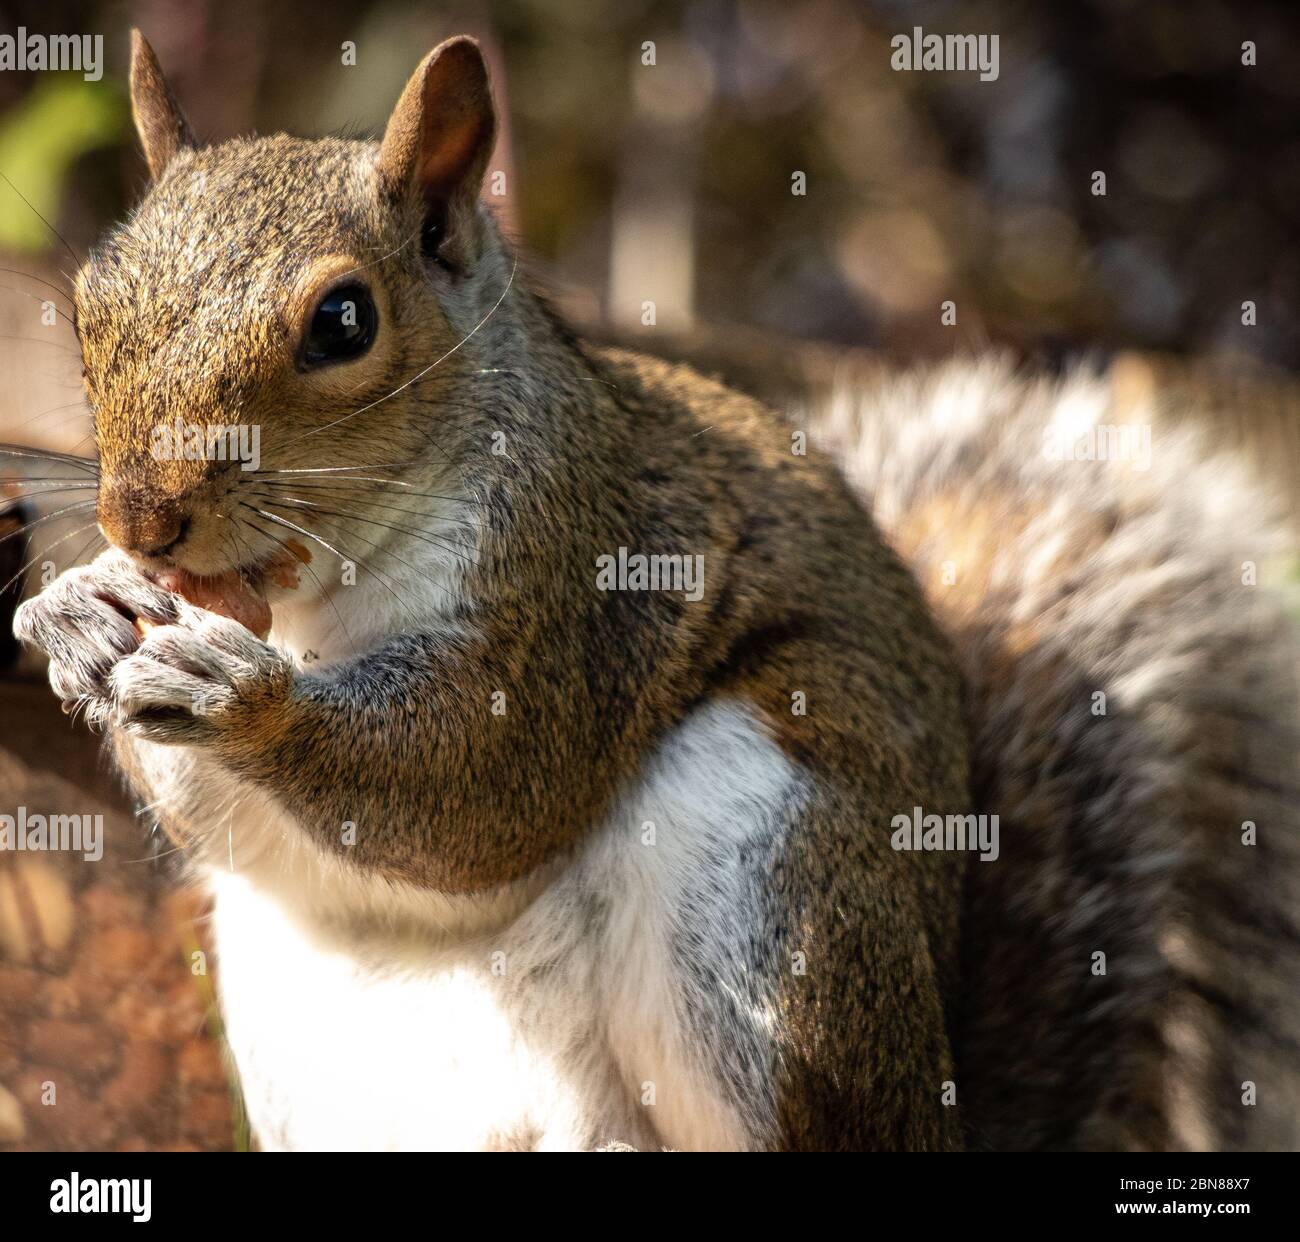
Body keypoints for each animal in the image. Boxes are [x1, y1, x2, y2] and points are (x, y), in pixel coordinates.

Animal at [10, 31, 1300, 1154]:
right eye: (89, 299)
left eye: (344, 320)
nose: (142, 519)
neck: (323, 591)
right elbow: (229, 829)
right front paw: (79, 611)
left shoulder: (575, 586)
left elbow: (476, 789)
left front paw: (243, 697)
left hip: (769, 893)